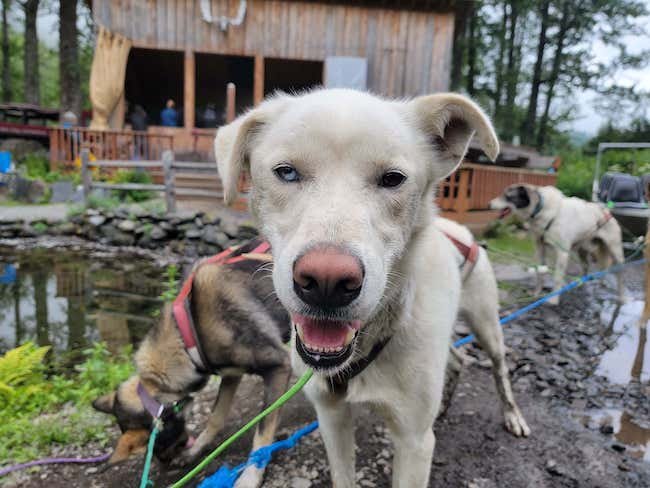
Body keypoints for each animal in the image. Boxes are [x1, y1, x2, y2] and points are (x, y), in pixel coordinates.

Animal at [215, 88, 498, 488]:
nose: (327, 282)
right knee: (458, 359)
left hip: (488, 327)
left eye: (393, 179)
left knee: (500, 371)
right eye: (286, 172)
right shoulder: (331, 416)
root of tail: (459, 231)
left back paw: (513, 418)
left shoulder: (414, 443)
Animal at [486, 184, 624, 304]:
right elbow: (540, 274)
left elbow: (557, 278)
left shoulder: (562, 253)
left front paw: (553, 299)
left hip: (615, 251)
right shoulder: (540, 249)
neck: (542, 208)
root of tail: (607, 212)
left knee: (619, 272)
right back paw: (582, 285)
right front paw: (537, 293)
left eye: (507, 196)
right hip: (582, 250)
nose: (488, 204)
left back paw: (621, 296)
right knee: (586, 266)